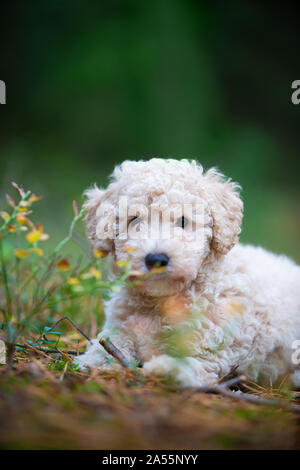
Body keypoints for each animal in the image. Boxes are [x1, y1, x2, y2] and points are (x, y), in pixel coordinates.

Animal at [75, 158, 300, 386]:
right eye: (134, 220)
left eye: (183, 221)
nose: (156, 259)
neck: (163, 302)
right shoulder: (120, 326)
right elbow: (109, 343)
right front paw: (91, 360)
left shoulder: (212, 353)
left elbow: (191, 365)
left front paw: (162, 368)